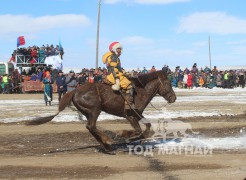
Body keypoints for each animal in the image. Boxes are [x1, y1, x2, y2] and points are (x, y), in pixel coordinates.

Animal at [26, 70, 176, 152]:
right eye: (168, 84)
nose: (174, 98)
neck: (139, 91)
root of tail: (75, 91)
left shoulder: (137, 114)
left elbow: (148, 126)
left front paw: (139, 139)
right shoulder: (130, 116)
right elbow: (138, 130)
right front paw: (125, 135)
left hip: (89, 112)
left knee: (90, 127)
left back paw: (106, 145)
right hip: (94, 110)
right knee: (91, 126)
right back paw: (108, 142)